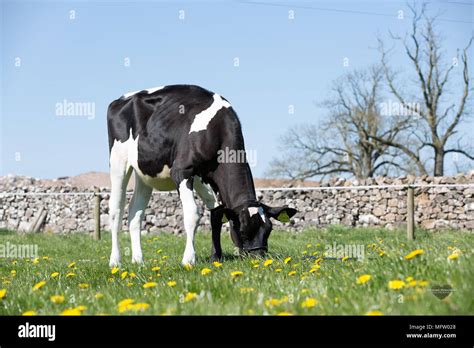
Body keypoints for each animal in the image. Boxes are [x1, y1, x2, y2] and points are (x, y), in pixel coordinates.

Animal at [107, 85, 296, 266]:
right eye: (243, 230)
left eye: (269, 229)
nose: (259, 258)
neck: (217, 130)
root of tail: (121, 99)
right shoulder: (182, 171)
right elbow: (193, 213)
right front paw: (188, 259)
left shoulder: (207, 179)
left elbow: (217, 215)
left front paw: (216, 257)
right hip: (118, 163)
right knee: (116, 210)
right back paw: (115, 261)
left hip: (145, 173)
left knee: (135, 212)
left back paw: (138, 260)